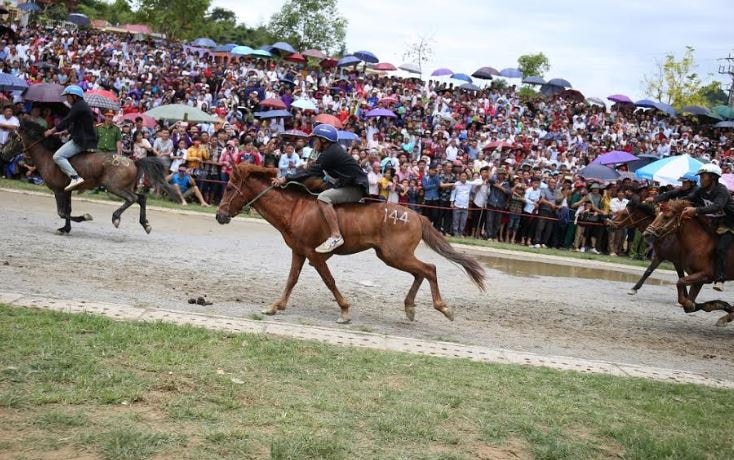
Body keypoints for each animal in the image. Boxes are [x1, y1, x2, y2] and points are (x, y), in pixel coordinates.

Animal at [14, 120, 177, 235]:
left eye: (14, 137)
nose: (7, 153)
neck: (48, 156)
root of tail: (133, 161)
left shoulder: (58, 191)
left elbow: (62, 212)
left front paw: (85, 217)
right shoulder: (67, 191)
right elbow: (68, 211)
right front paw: (65, 229)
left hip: (114, 187)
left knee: (133, 198)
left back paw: (116, 218)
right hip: (125, 187)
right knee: (141, 198)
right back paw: (145, 224)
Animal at [217, 164, 488, 326]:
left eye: (229, 187)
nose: (220, 216)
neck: (295, 209)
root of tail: (416, 215)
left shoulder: (314, 255)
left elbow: (329, 281)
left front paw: (345, 310)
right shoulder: (299, 252)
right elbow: (291, 280)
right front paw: (275, 306)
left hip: (395, 255)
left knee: (429, 269)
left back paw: (443, 307)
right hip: (391, 256)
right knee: (420, 272)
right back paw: (410, 307)